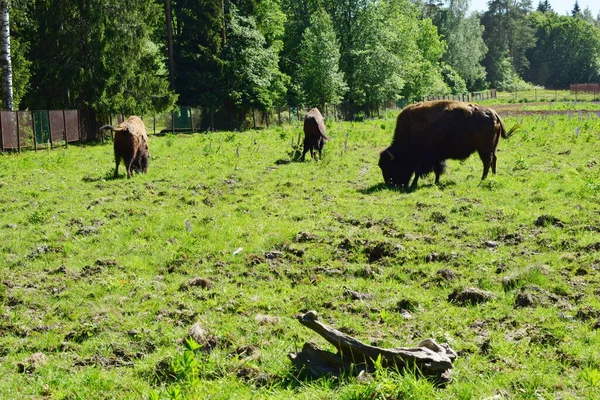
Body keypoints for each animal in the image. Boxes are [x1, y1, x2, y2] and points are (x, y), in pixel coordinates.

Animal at [380, 102, 516, 191]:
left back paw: (482, 181)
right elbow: (437, 170)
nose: (389, 184)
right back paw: (492, 177)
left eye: (390, 166)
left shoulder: (425, 158)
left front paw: (414, 185)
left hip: (483, 149)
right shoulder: (436, 157)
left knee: (487, 162)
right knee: (494, 159)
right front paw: (436, 182)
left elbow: (419, 171)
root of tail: (493, 113)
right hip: (492, 147)